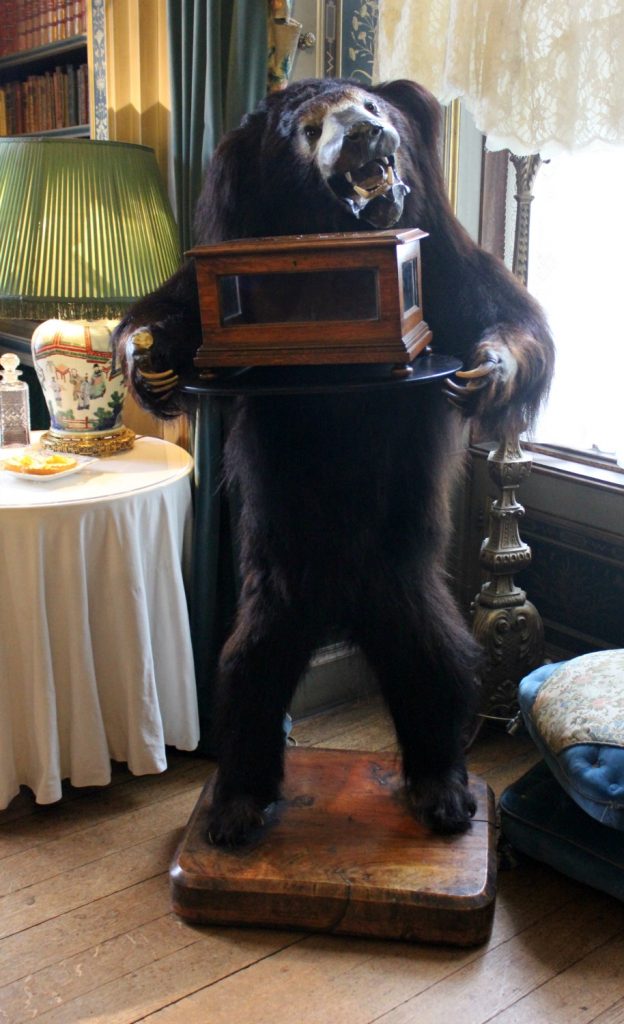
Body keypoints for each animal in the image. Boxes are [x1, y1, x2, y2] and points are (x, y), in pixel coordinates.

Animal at [114, 78, 554, 847]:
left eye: (374, 108)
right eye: (309, 128)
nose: (363, 134)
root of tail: (340, 606)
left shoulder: (444, 264)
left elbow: (506, 313)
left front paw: (485, 370)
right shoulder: (226, 253)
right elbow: (177, 308)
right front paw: (151, 361)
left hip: (405, 586)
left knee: (440, 668)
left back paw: (447, 795)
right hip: (275, 592)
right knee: (246, 676)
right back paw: (234, 808)